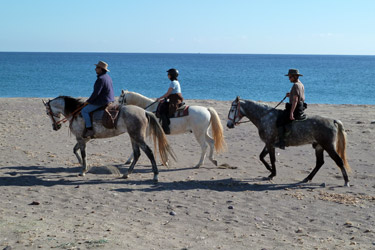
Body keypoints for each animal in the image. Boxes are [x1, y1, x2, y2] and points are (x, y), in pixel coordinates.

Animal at [43, 95, 176, 182]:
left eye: (47, 113)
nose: (55, 127)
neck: (76, 113)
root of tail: (144, 111)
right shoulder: (84, 139)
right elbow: (75, 150)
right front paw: (82, 165)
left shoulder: (80, 138)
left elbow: (82, 153)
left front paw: (83, 170)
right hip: (133, 137)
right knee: (137, 154)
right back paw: (127, 174)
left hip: (138, 137)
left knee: (149, 152)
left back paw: (155, 175)